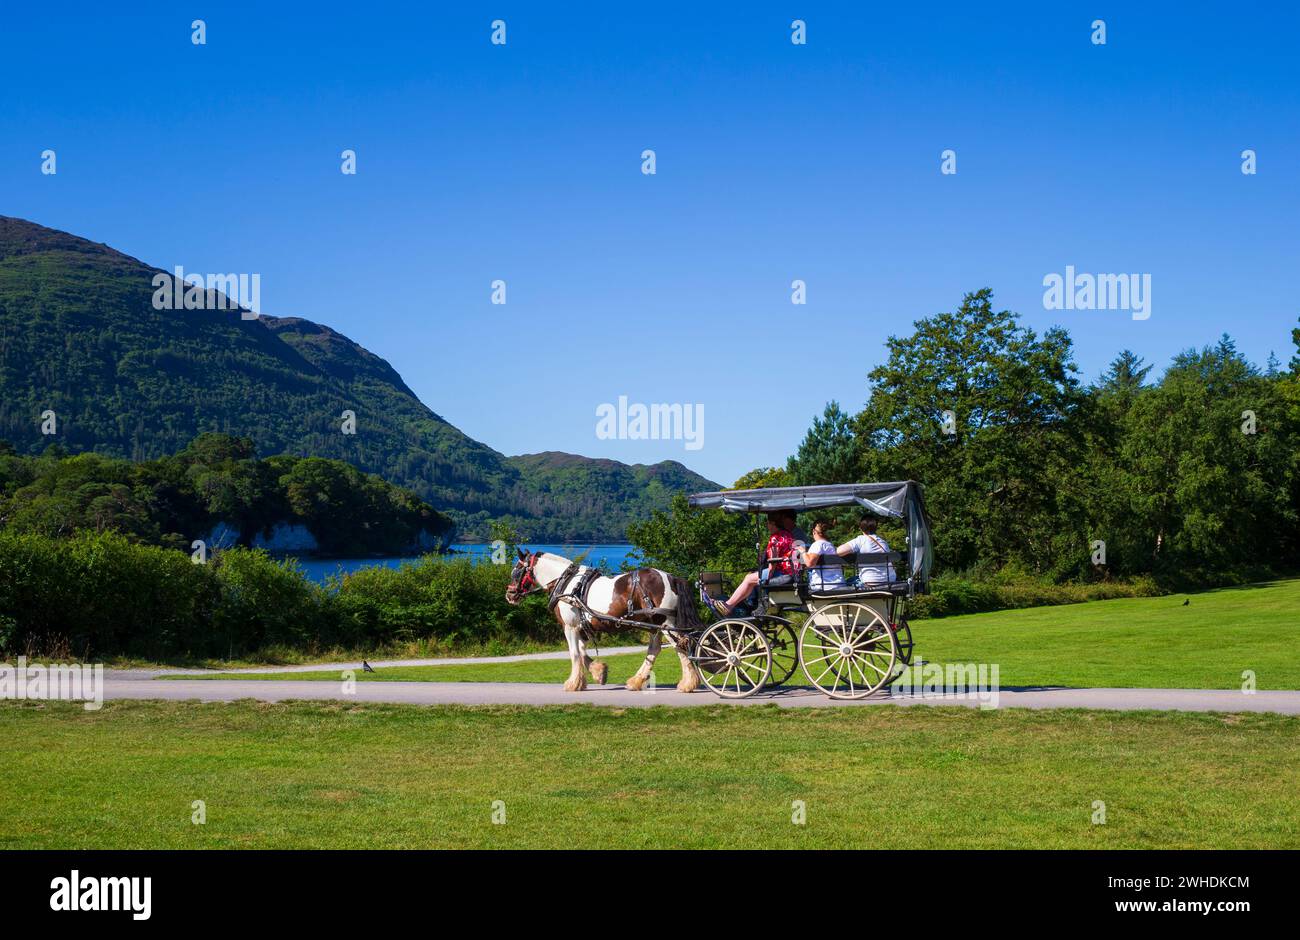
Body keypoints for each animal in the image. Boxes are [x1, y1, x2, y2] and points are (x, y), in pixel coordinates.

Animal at [501, 548, 702, 696]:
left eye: (516, 571)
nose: (509, 595)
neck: (567, 584)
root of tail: (671, 577)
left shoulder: (570, 626)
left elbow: (574, 653)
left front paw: (573, 683)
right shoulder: (582, 626)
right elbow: (582, 652)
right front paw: (598, 673)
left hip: (667, 623)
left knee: (681, 646)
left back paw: (688, 684)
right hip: (654, 624)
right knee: (654, 650)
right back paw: (637, 680)